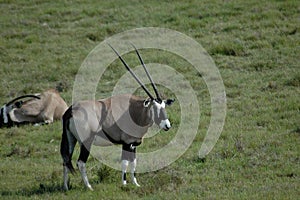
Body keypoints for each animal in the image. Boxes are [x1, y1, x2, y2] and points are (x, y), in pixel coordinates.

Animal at [60, 44, 173, 190]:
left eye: (164, 106)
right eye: (154, 107)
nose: (167, 125)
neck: (134, 111)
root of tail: (70, 111)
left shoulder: (133, 144)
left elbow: (133, 162)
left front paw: (135, 183)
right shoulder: (126, 143)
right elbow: (125, 162)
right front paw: (124, 183)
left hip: (71, 139)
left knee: (66, 160)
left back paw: (65, 187)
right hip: (86, 142)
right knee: (80, 162)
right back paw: (89, 187)